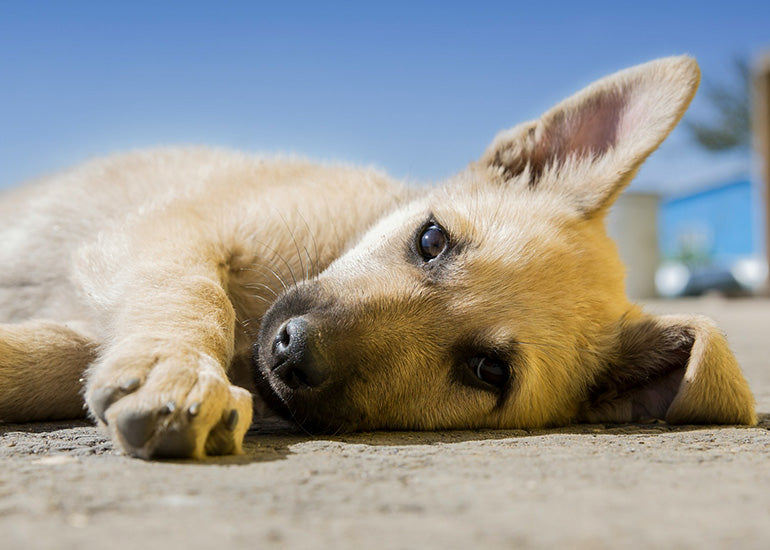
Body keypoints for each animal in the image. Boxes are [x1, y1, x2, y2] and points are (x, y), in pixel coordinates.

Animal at [0, 56, 756, 462]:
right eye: (431, 240)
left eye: (487, 371)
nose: (292, 351)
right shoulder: (169, 231)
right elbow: (193, 294)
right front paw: (177, 370)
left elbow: (52, 358)